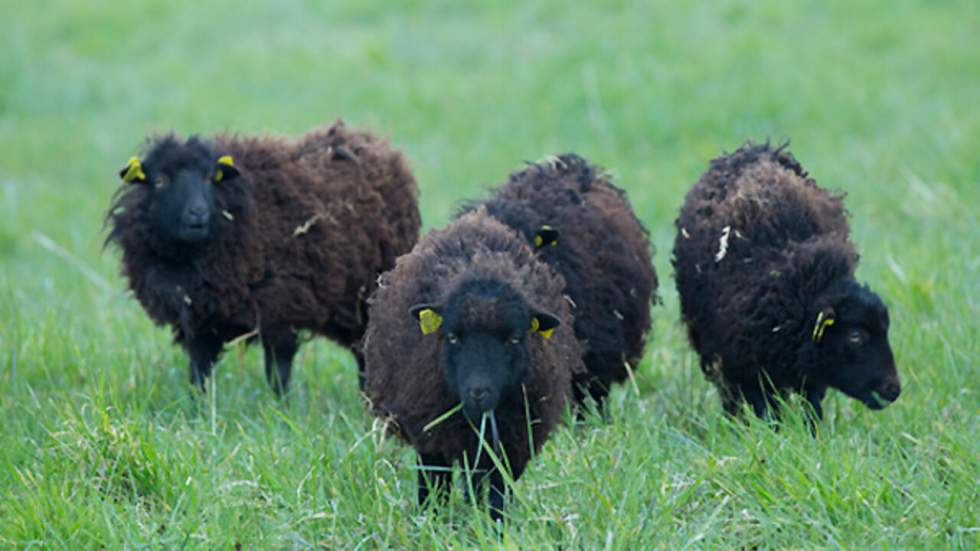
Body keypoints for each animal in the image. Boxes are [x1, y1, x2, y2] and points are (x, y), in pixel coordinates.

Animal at [107, 121, 422, 396]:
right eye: (160, 180)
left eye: (209, 178)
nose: (197, 212)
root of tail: (375, 143)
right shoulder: (198, 319)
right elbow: (199, 374)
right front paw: (196, 410)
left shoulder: (280, 309)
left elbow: (278, 374)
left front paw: (280, 411)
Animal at [366, 207, 580, 520]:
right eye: (452, 337)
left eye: (515, 338)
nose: (478, 393)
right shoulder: (432, 433)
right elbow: (434, 484)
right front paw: (433, 520)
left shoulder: (511, 442)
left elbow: (498, 491)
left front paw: (494, 524)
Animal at [668, 142, 900, 422]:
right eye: (856, 336)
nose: (893, 390)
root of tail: (756, 147)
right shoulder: (747, 367)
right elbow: (766, 412)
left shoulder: (809, 370)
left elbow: (811, 408)